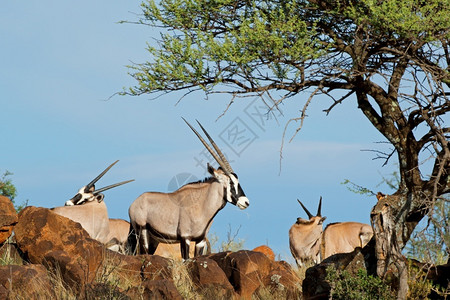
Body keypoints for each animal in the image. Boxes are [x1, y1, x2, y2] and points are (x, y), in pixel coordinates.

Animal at [128, 119, 250, 260]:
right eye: (230, 182)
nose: (246, 202)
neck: (202, 204)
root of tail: (134, 203)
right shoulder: (185, 238)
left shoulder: (200, 240)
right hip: (141, 232)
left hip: (154, 239)